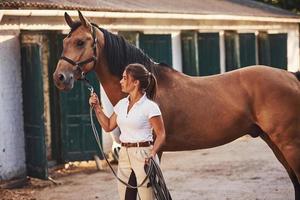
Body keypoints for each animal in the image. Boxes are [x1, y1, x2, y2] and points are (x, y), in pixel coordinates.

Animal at [53, 11, 300, 199]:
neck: (148, 88)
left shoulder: (153, 152)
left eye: (80, 42)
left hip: (288, 144)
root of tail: (290, 76)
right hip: (274, 142)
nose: (59, 78)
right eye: (64, 42)